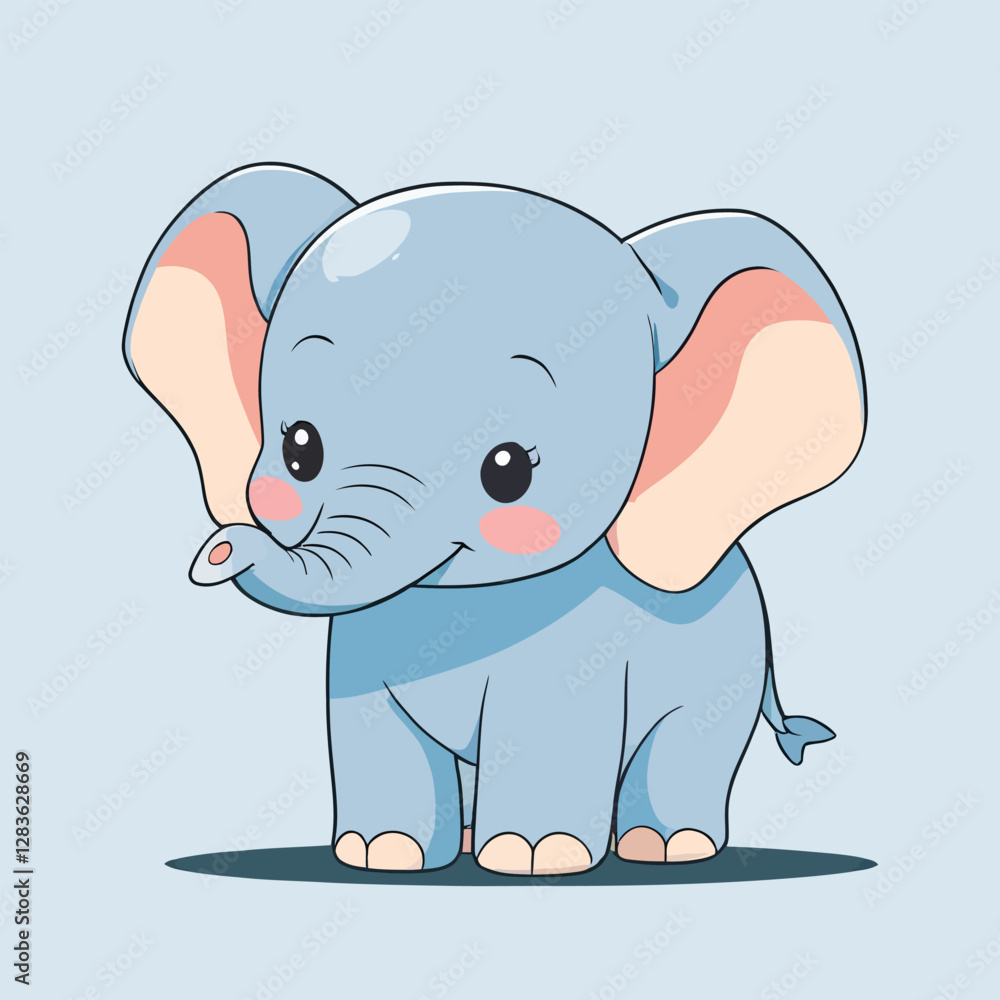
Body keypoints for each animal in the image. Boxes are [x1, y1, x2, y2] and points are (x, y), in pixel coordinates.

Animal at [123, 162, 865, 876]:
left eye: (507, 470)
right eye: (299, 449)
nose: (218, 552)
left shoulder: (573, 649)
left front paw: (534, 858)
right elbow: (369, 726)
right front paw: (380, 853)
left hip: (726, 666)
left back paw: (665, 847)